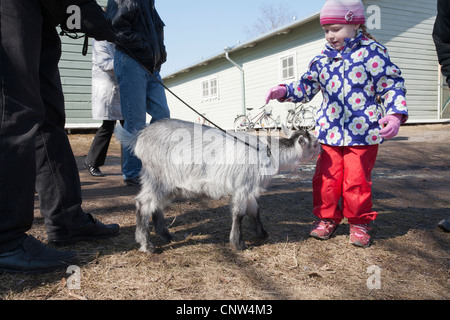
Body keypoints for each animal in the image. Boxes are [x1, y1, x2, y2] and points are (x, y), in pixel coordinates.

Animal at [114, 118, 322, 252]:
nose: (322, 148)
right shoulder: (242, 186)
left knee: (156, 207)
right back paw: (147, 245)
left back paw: (166, 236)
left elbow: (255, 210)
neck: (267, 152)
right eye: (314, 143)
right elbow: (239, 213)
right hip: (157, 176)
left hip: (167, 183)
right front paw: (238, 243)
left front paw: (262, 234)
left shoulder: (250, 189)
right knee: (143, 204)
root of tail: (139, 137)